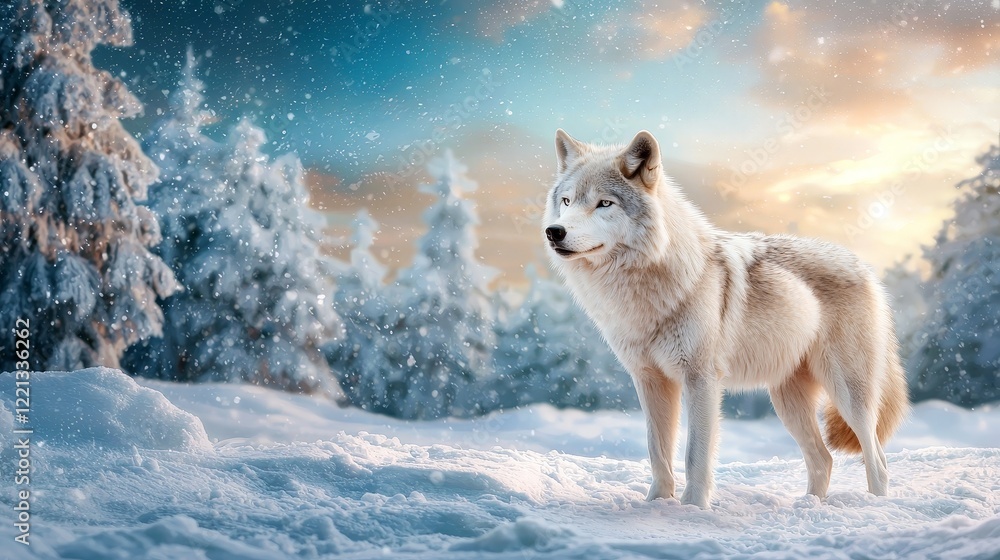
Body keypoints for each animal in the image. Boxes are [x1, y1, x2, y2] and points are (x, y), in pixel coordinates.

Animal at [543, 129, 909, 509]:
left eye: (604, 203)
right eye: (567, 201)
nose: (554, 231)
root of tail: (864, 267)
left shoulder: (701, 380)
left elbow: (694, 455)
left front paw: (692, 510)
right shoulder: (649, 380)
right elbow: (657, 451)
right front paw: (656, 505)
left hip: (848, 395)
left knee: (877, 460)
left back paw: (875, 506)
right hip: (787, 401)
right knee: (824, 459)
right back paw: (807, 507)